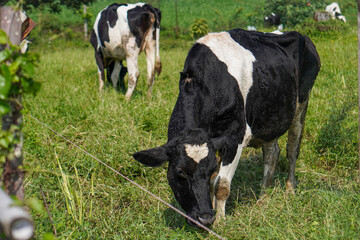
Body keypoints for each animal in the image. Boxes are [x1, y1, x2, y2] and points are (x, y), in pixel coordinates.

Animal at [133, 28, 320, 227]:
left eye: (209, 169)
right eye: (180, 172)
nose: (204, 217)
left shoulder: (235, 137)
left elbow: (220, 184)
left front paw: (220, 221)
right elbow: (214, 182)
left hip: (302, 103)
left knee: (292, 149)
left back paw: (290, 189)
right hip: (269, 117)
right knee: (272, 154)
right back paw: (263, 198)